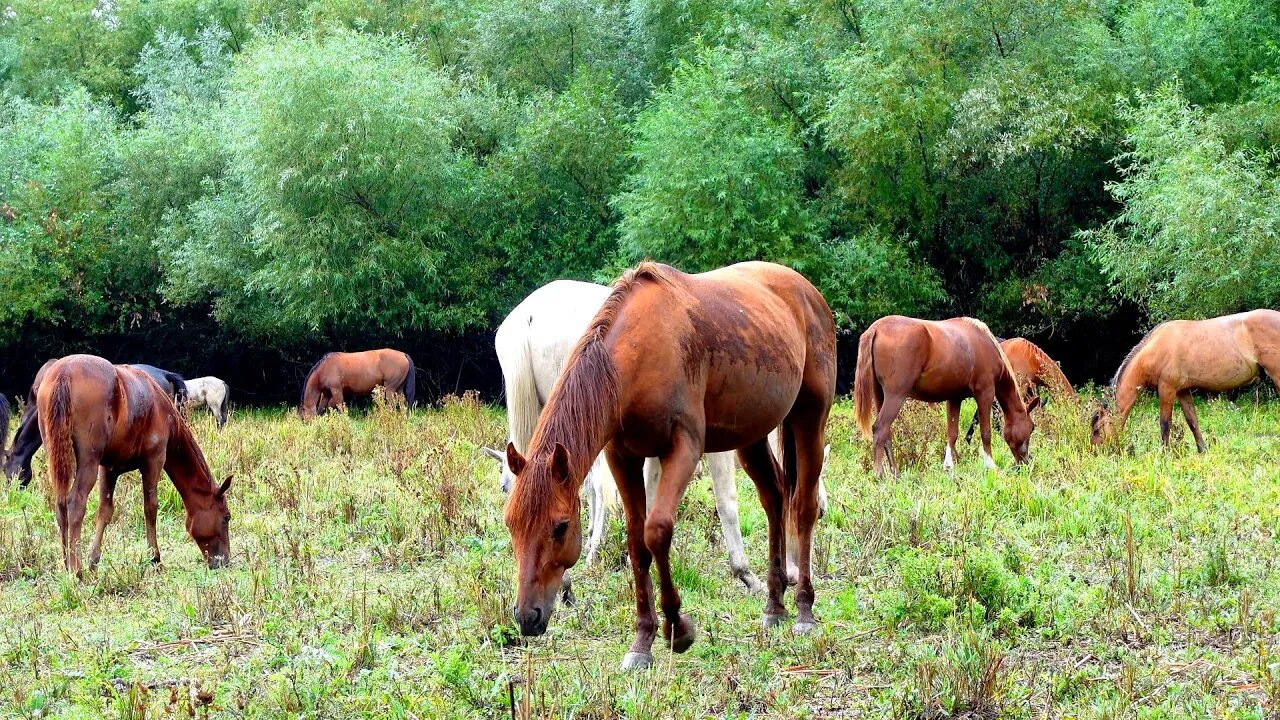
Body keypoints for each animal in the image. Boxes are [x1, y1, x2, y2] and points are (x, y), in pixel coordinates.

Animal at [36, 353, 232, 576]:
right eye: (226, 517)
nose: (224, 561)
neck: (162, 408)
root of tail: (65, 372)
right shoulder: (154, 460)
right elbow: (150, 507)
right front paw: (155, 558)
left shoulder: (108, 469)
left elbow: (105, 511)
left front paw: (94, 562)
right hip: (88, 461)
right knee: (75, 503)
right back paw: (76, 571)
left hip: (57, 455)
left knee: (60, 504)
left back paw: (67, 563)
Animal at [499, 260, 839, 671]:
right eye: (510, 524)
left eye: (561, 526)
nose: (526, 617)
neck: (643, 349)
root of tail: (806, 290)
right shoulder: (622, 457)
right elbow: (637, 542)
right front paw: (642, 641)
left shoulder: (684, 448)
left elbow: (657, 531)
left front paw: (678, 628)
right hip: (753, 433)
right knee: (774, 498)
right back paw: (774, 606)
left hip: (809, 418)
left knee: (802, 506)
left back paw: (803, 609)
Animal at [849, 315, 1039, 474]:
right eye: (1032, 427)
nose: (1025, 463)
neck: (985, 343)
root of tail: (876, 328)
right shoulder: (985, 393)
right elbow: (986, 432)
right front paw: (990, 465)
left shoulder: (954, 398)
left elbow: (952, 433)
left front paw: (949, 466)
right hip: (895, 396)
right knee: (880, 429)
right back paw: (880, 475)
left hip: (880, 396)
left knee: (886, 433)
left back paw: (895, 473)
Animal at [1090, 307, 1280, 450]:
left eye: (1098, 429)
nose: (1094, 451)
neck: (1153, 351)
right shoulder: (1182, 391)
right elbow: (1192, 421)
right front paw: (1202, 450)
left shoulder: (1167, 389)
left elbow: (1165, 423)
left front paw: (1165, 453)